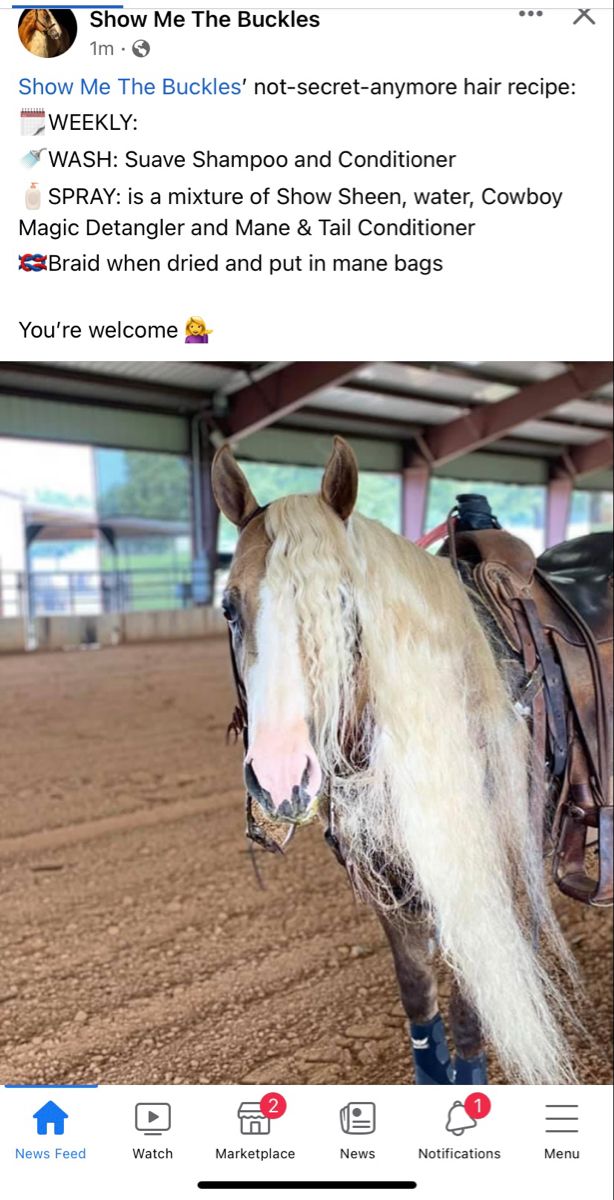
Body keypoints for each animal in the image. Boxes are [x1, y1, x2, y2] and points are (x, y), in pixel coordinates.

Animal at [211, 441, 609, 1089]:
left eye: (342, 601)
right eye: (228, 606)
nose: (279, 777)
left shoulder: (491, 876)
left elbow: (473, 1017)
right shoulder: (390, 882)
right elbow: (419, 996)